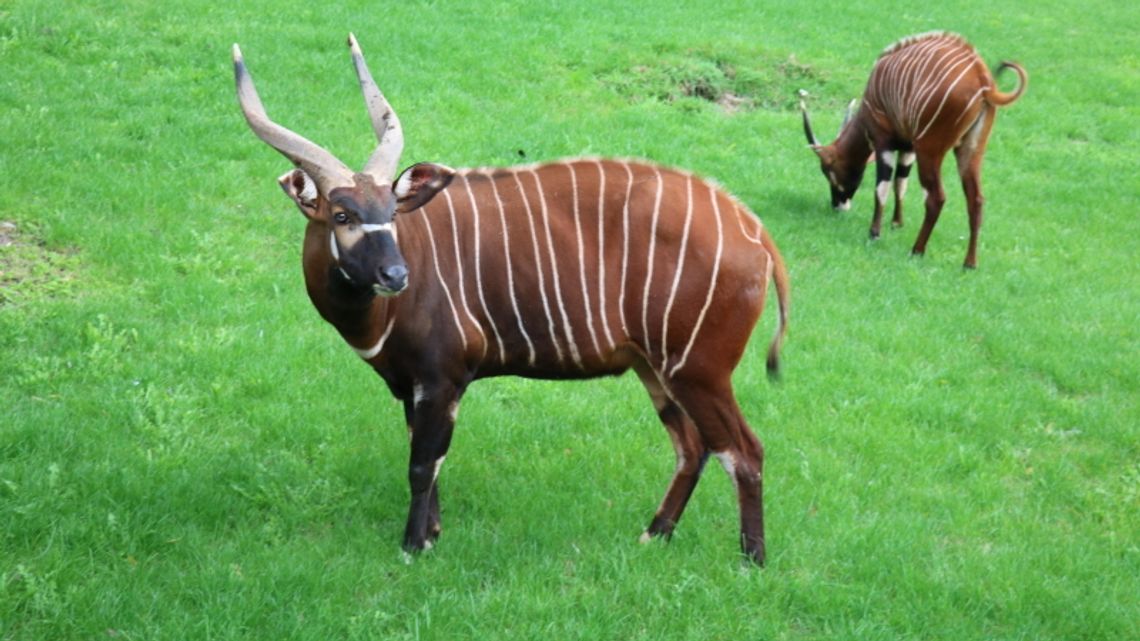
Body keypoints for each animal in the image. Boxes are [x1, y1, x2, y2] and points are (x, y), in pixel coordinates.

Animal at [232, 36, 793, 563]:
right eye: (342, 214)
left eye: (391, 210)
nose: (396, 274)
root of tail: (755, 232)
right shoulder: (414, 385)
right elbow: (428, 458)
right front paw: (433, 533)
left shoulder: (441, 377)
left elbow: (423, 463)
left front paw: (414, 546)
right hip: (654, 369)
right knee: (693, 447)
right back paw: (654, 535)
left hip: (698, 370)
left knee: (744, 450)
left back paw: (752, 560)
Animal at [798, 31, 1030, 266]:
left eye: (828, 169)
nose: (837, 205)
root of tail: (983, 80)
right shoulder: (908, 148)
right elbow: (901, 183)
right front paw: (896, 223)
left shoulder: (884, 143)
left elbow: (882, 187)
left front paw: (874, 233)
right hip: (969, 150)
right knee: (975, 199)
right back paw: (969, 263)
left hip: (930, 148)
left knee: (936, 197)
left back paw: (917, 250)